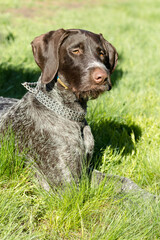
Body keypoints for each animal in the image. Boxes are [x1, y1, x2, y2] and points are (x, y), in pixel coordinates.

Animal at [0, 28, 119, 189]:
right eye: (75, 50)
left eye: (101, 53)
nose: (103, 77)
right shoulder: (67, 183)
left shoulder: (86, 170)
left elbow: (122, 182)